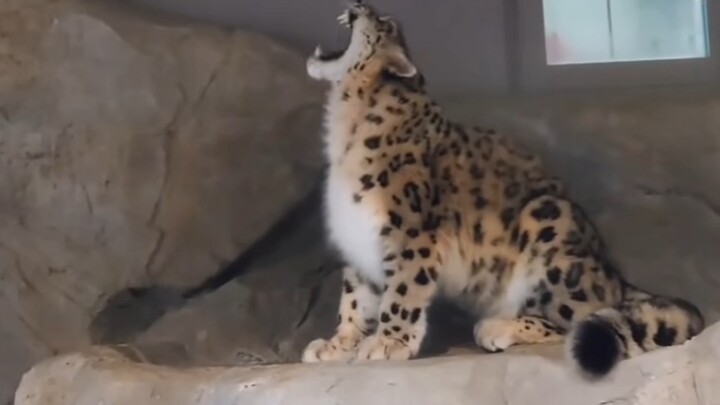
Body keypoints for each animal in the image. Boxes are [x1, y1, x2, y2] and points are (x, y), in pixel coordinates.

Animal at [301, 1, 704, 378]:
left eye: (384, 21)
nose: (361, 4)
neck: (344, 126)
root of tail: (613, 275)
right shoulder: (356, 234)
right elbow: (355, 298)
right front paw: (337, 345)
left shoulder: (410, 232)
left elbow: (402, 290)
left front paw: (389, 342)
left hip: (549, 224)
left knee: (582, 317)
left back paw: (498, 327)